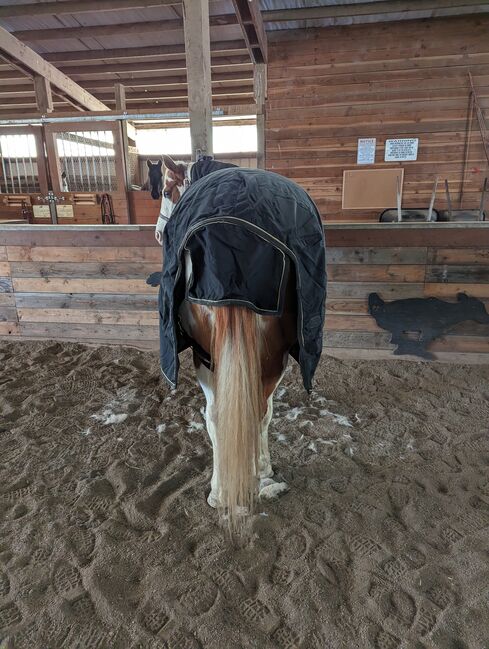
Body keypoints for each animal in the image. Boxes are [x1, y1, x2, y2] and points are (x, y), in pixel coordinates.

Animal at [149, 156, 324, 532]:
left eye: (167, 191)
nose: (157, 231)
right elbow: (265, 413)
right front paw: (264, 467)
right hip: (271, 359)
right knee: (256, 411)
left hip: (206, 356)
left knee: (216, 416)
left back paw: (219, 492)